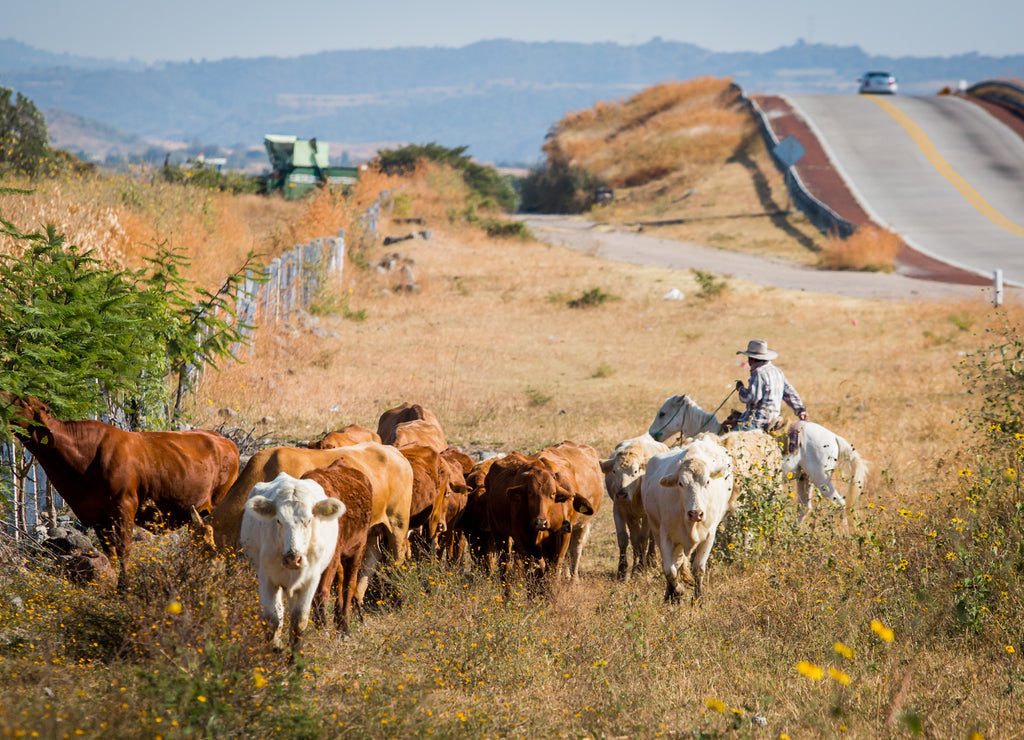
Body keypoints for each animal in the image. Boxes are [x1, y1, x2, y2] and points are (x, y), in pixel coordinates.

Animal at [4, 394, 239, 589]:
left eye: (24, 401)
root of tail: (226, 441)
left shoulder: (124, 508)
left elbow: (124, 549)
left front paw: (124, 588)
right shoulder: (98, 516)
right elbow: (110, 553)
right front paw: (111, 583)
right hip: (196, 514)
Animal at [240, 472, 345, 652]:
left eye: (309, 520)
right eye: (278, 520)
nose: (292, 559)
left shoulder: (310, 581)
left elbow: (299, 621)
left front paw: (295, 656)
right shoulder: (267, 578)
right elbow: (272, 618)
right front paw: (274, 649)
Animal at [301, 463, 373, 634]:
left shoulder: (332, 558)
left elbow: (322, 591)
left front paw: (322, 628)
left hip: (357, 549)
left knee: (349, 585)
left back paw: (345, 627)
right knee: (340, 581)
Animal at [600, 433, 670, 580]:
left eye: (636, 471)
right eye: (614, 471)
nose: (621, 494)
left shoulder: (647, 515)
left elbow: (643, 539)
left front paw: (640, 568)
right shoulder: (619, 510)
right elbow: (624, 538)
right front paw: (622, 570)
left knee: (650, 537)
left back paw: (650, 560)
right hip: (632, 516)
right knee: (634, 538)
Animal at [642, 436, 734, 605]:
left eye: (707, 482)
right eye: (681, 483)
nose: (696, 513)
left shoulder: (709, 536)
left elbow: (698, 568)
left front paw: (699, 599)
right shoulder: (665, 535)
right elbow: (669, 570)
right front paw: (677, 592)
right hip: (659, 532)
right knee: (675, 564)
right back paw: (671, 594)